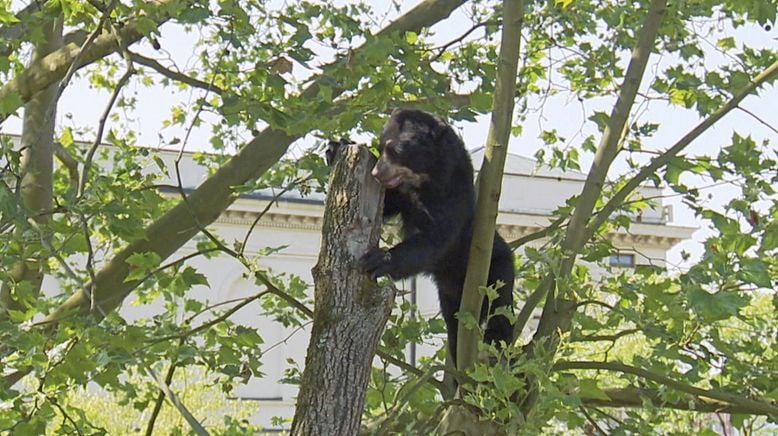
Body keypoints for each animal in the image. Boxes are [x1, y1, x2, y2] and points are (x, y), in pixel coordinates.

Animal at [328, 107, 516, 360]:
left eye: (395, 150)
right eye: (382, 145)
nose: (377, 172)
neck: (423, 180)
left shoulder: (452, 196)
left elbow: (434, 239)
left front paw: (379, 259)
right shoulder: (403, 194)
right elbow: (387, 205)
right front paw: (336, 147)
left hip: (496, 272)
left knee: (501, 314)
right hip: (448, 295)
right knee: (454, 326)